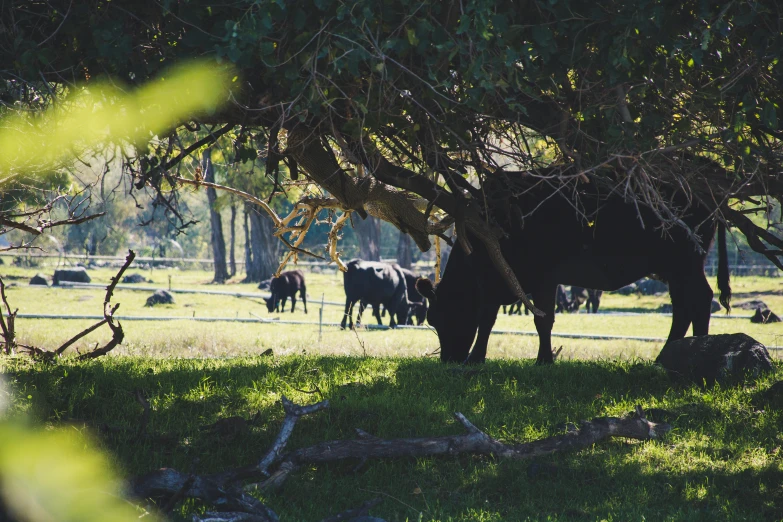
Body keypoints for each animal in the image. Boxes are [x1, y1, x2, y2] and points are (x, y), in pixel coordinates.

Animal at [420, 173, 732, 364]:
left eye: (437, 318)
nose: (448, 359)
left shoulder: (535, 278)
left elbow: (532, 320)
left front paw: (539, 359)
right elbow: (500, 319)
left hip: (686, 262)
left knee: (700, 299)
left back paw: (699, 349)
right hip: (674, 268)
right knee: (682, 306)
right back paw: (668, 355)